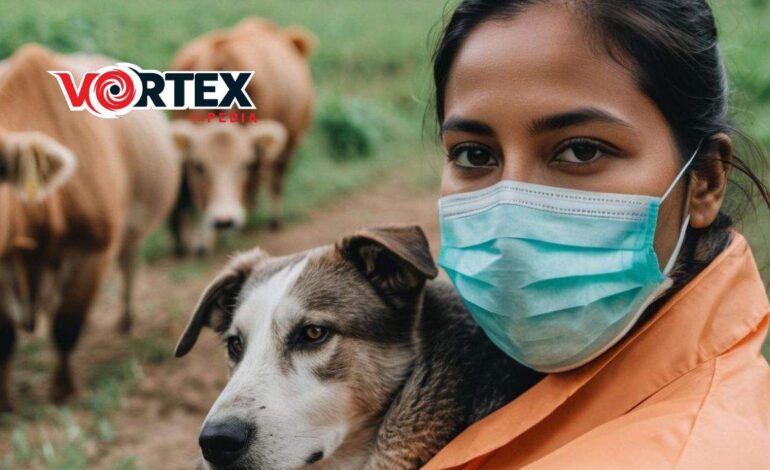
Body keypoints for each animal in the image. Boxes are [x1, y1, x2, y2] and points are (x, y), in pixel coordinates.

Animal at [0, 45, 182, 412]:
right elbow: (4, 338)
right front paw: (6, 399)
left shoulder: (94, 249)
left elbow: (67, 324)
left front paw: (63, 390)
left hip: (132, 231)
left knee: (128, 266)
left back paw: (125, 320)